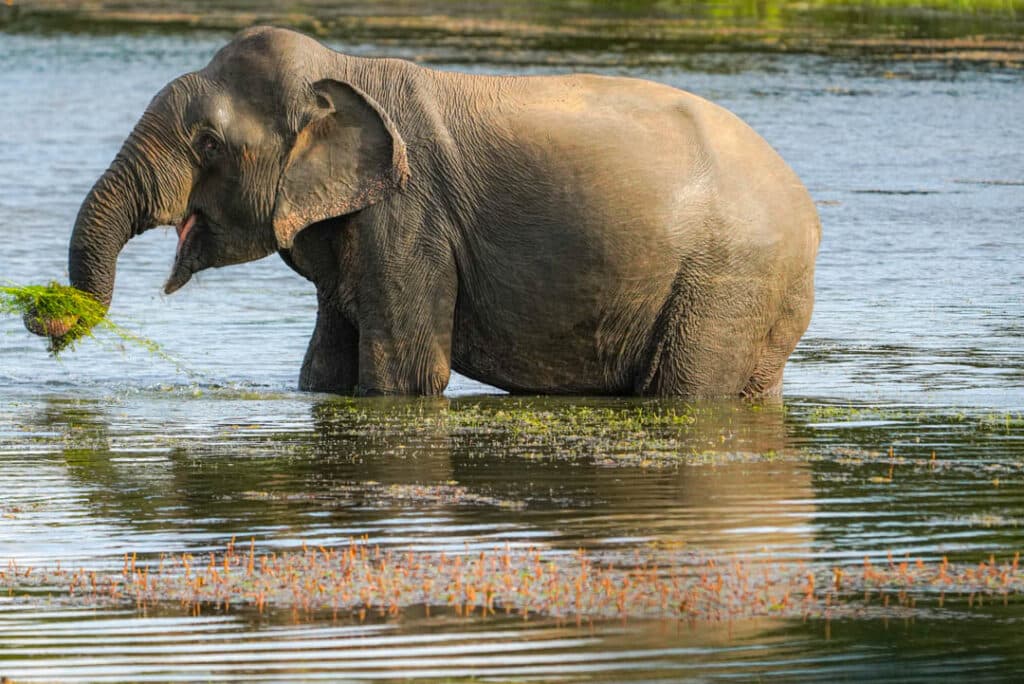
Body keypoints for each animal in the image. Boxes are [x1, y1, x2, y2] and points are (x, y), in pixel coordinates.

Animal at [28, 26, 819, 397]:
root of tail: (808, 214)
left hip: (726, 283)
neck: (345, 70)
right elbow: (322, 373)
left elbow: (403, 376)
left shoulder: (409, 216)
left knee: (684, 390)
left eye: (208, 143)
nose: (40, 314)